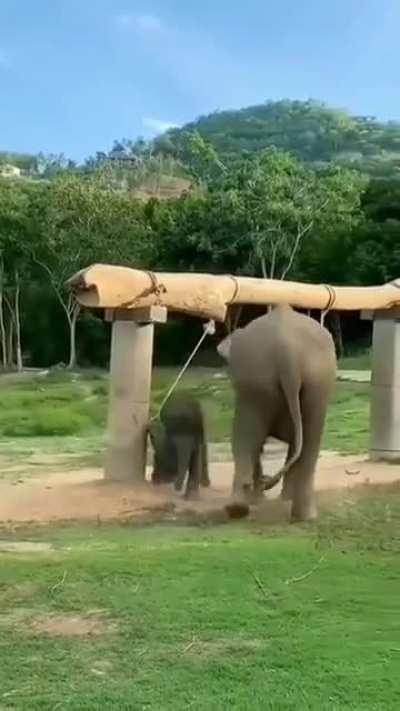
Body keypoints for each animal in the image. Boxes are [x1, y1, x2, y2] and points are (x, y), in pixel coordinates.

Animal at [218, 304, 337, 521]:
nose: (266, 481)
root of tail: (287, 351)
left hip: (256, 383)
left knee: (244, 436)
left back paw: (239, 507)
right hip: (316, 381)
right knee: (310, 439)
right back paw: (304, 516)